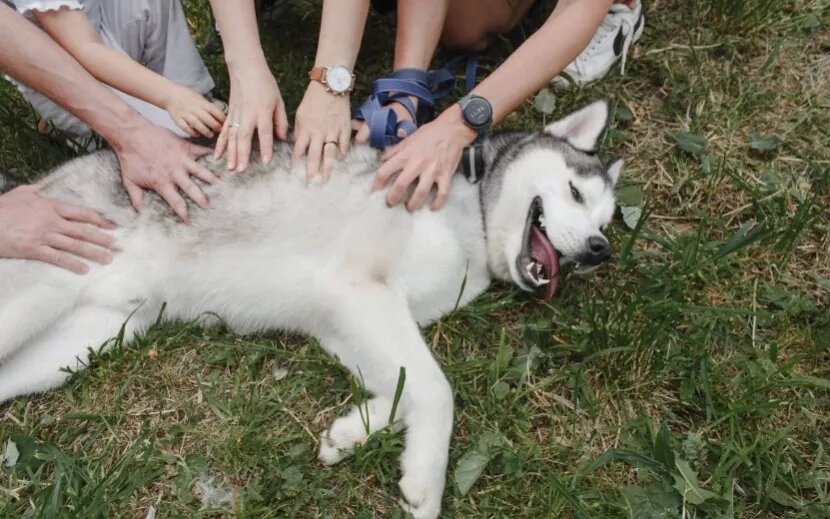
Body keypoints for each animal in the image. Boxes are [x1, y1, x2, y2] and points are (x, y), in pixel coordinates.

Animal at [0, 99, 624, 516]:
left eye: (606, 219)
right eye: (574, 192)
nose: (600, 250)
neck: (471, 213)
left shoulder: (342, 320)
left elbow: (406, 389)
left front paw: (351, 433)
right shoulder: (362, 289)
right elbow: (436, 388)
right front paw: (425, 481)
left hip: (85, 342)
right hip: (33, 302)